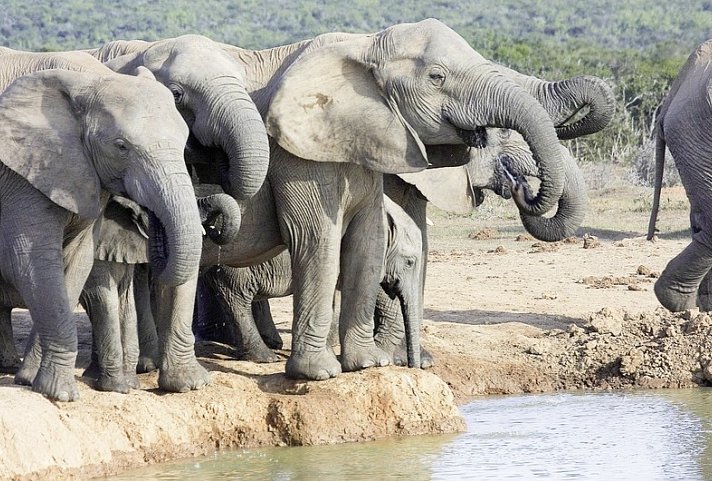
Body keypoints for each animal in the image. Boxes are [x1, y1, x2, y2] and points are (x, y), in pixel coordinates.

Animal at [0, 64, 204, 402]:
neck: (85, 84)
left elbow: (76, 264)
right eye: (121, 147)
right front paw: (61, 395)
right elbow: (33, 264)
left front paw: (34, 383)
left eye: (184, 141)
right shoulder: (23, 182)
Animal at [195, 197, 426, 366]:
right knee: (238, 297)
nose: (412, 366)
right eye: (410, 262)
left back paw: (271, 344)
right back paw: (266, 358)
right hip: (234, 267)